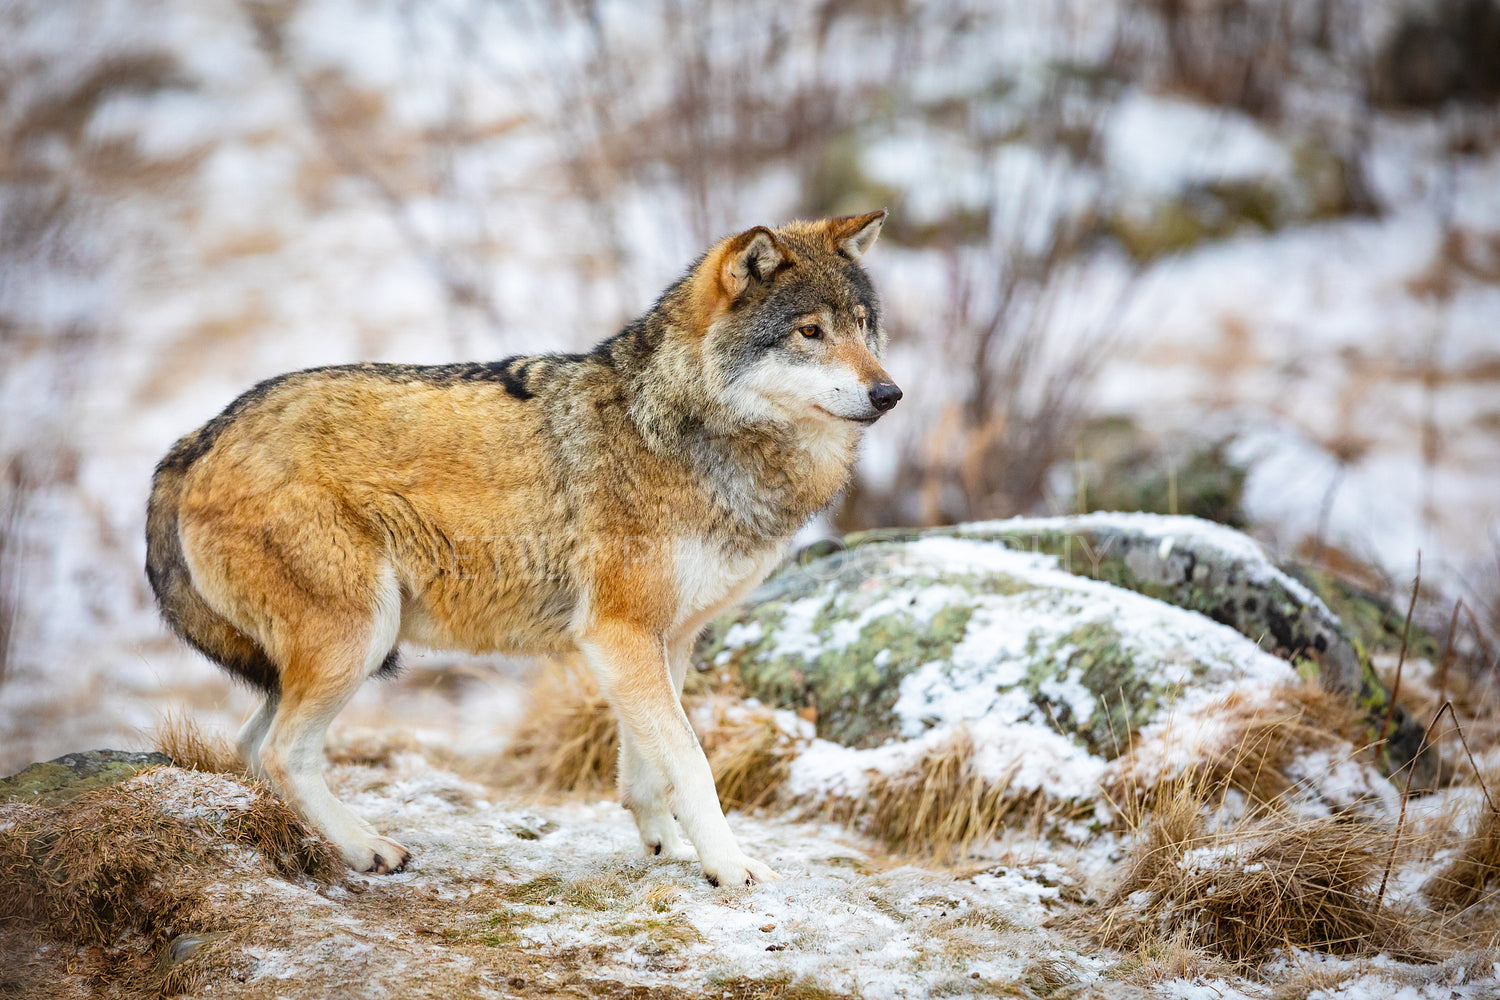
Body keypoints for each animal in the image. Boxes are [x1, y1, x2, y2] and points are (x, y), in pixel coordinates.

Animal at [146, 209, 900, 881]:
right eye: (810, 332)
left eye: (865, 327)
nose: (889, 393)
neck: (684, 430)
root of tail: (198, 439)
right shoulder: (620, 632)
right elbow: (691, 762)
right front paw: (731, 866)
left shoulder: (665, 638)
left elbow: (646, 766)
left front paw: (666, 847)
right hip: (361, 638)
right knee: (281, 753)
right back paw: (368, 849)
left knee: (249, 744)